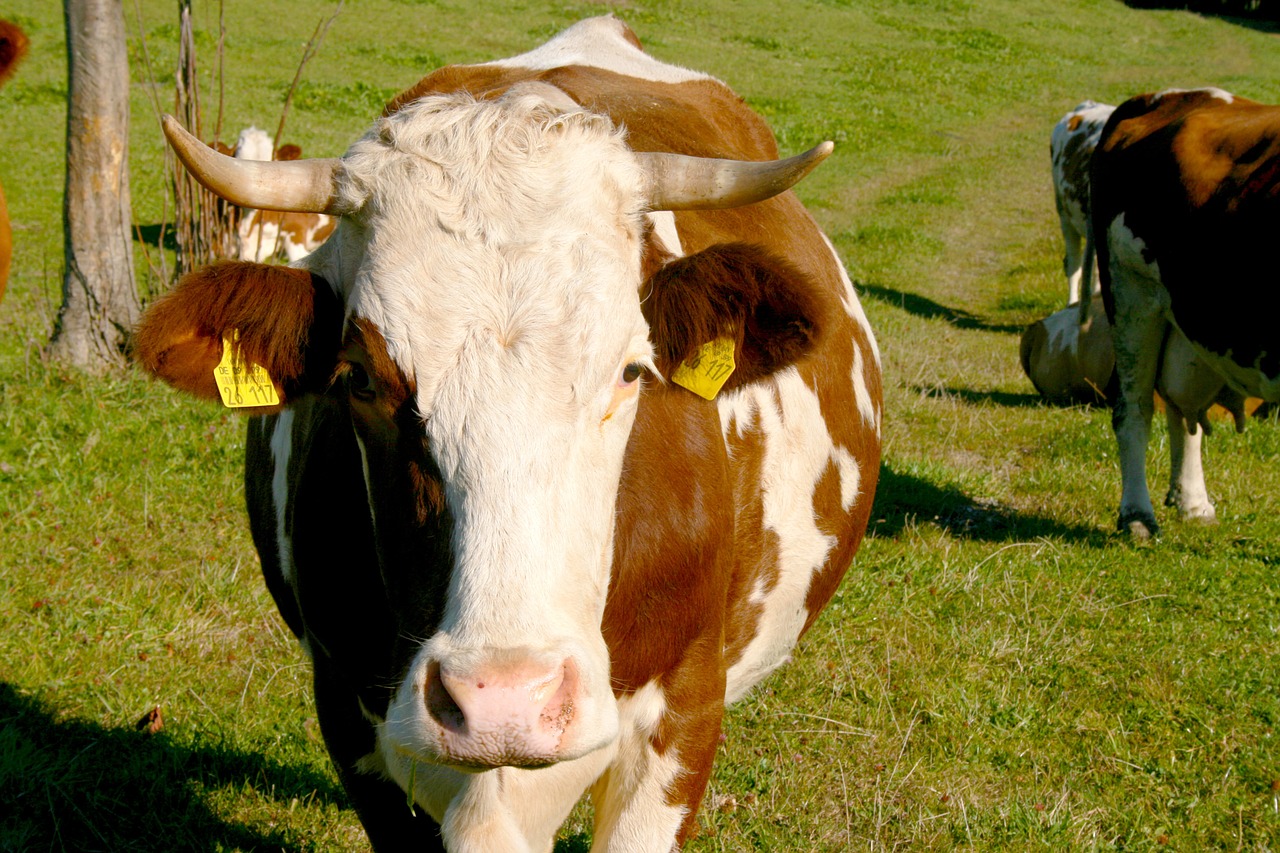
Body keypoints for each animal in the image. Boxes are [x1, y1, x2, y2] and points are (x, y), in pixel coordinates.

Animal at [1090, 87, 1280, 537]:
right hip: (1130, 296)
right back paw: (1137, 516)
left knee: (1182, 410)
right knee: (1134, 408)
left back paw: (1192, 503)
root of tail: (1165, 96)